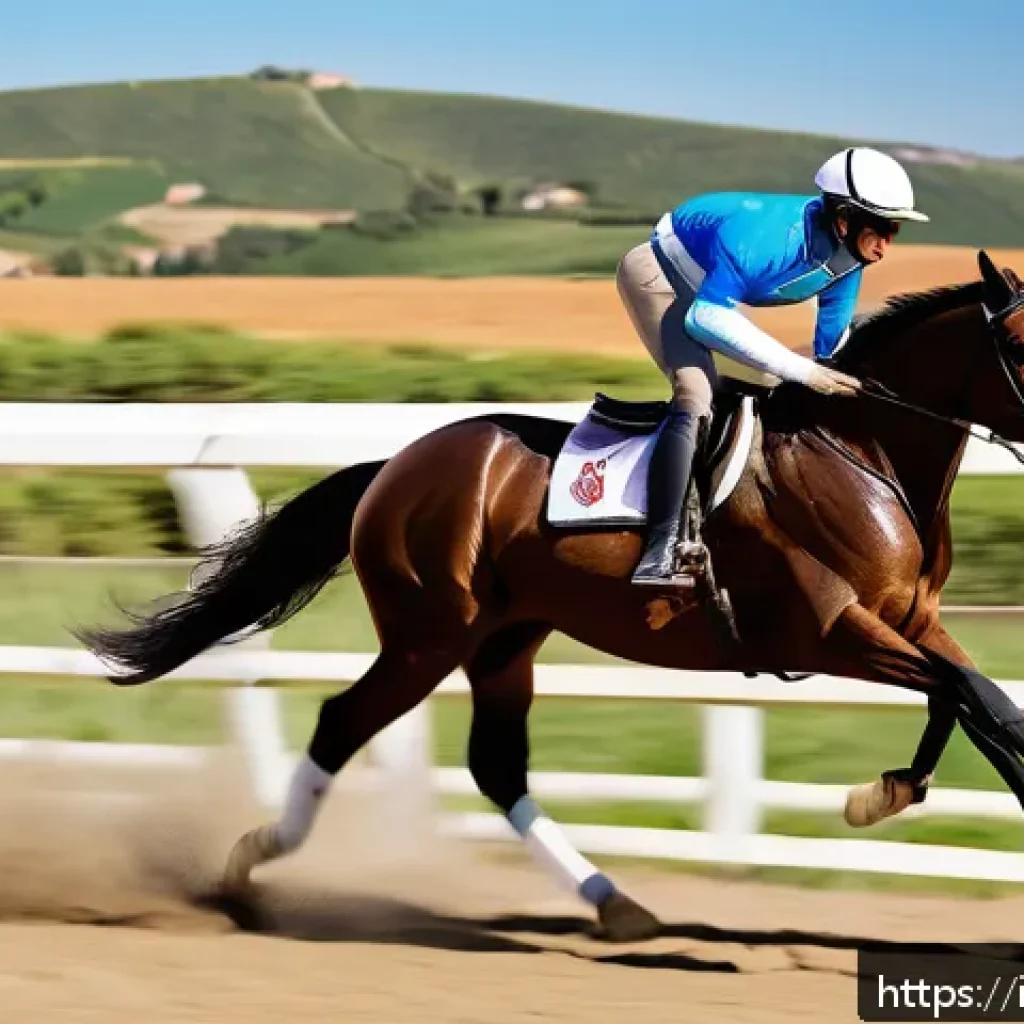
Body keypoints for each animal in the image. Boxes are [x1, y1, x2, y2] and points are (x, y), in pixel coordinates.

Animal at [77, 250, 1024, 943]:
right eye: (1021, 344)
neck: (864, 454)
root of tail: (395, 466)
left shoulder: (911, 623)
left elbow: (978, 699)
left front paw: (896, 788)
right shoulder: (828, 633)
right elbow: (975, 700)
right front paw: (887, 793)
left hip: (505, 638)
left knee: (496, 766)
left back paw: (615, 903)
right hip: (430, 634)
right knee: (344, 724)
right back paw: (244, 869)